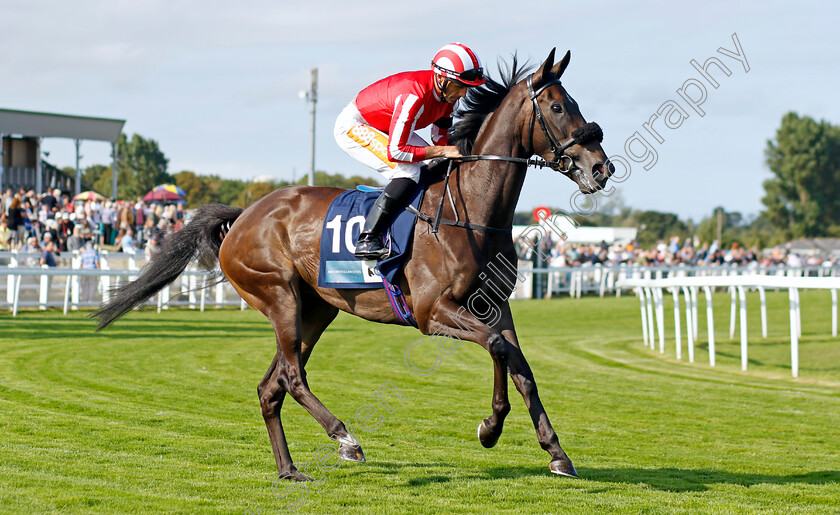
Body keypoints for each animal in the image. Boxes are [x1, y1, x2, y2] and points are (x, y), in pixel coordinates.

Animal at [93, 49, 612, 484]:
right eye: (559, 107)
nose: (600, 168)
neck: (470, 210)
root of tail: (243, 215)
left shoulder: (495, 306)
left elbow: (520, 365)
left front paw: (556, 453)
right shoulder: (433, 313)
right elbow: (499, 350)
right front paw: (490, 427)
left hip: (316, 309)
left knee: (271, 386)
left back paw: (290, 470)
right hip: (278, 296)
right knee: (292, 377)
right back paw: (345, 438)